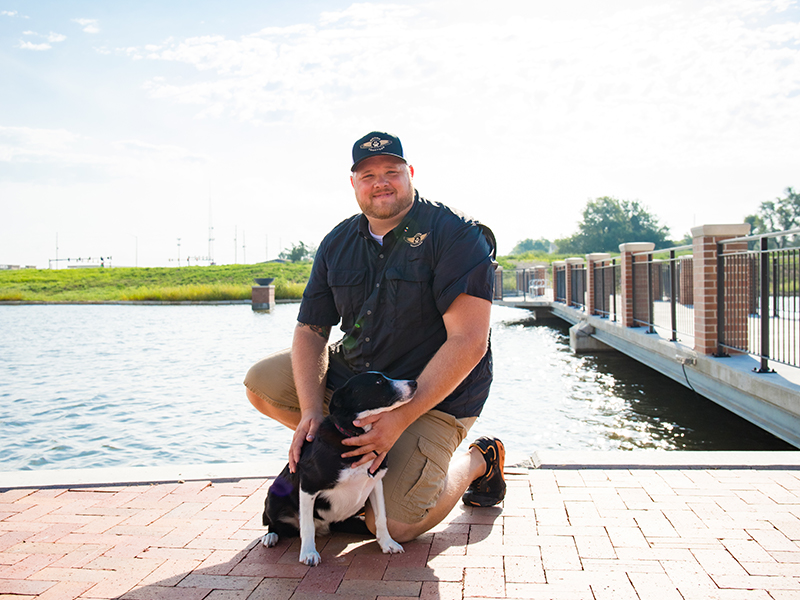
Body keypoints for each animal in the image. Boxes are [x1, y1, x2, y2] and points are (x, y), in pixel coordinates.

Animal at [260, 372, 416, 564]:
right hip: (273, 495)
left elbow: (381, 518)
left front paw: (387, 543)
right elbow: (307, 526)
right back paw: (270, 536)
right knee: (274, 524)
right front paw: (308, 553)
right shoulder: (308, 486)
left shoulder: (375, 483)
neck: (355, 436)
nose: (414, 383)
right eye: (379, 381)